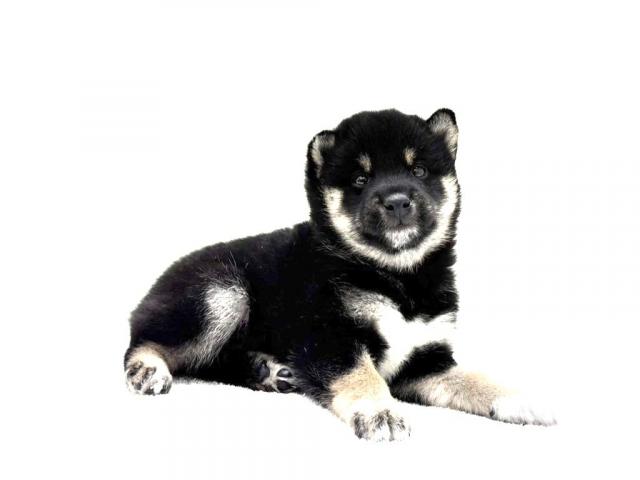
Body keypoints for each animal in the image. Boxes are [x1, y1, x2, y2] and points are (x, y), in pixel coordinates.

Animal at [124, 108, 556, 440]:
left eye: (418, 170)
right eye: (361, 180)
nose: (398, 201)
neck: (397, 278)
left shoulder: (424, 362)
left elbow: (473, 378)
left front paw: (518, 399)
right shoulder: (330, 337)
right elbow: (362, 375)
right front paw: (380, 412)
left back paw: (268, 371)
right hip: (221, 293)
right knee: (146, 342)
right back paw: (148, 368)